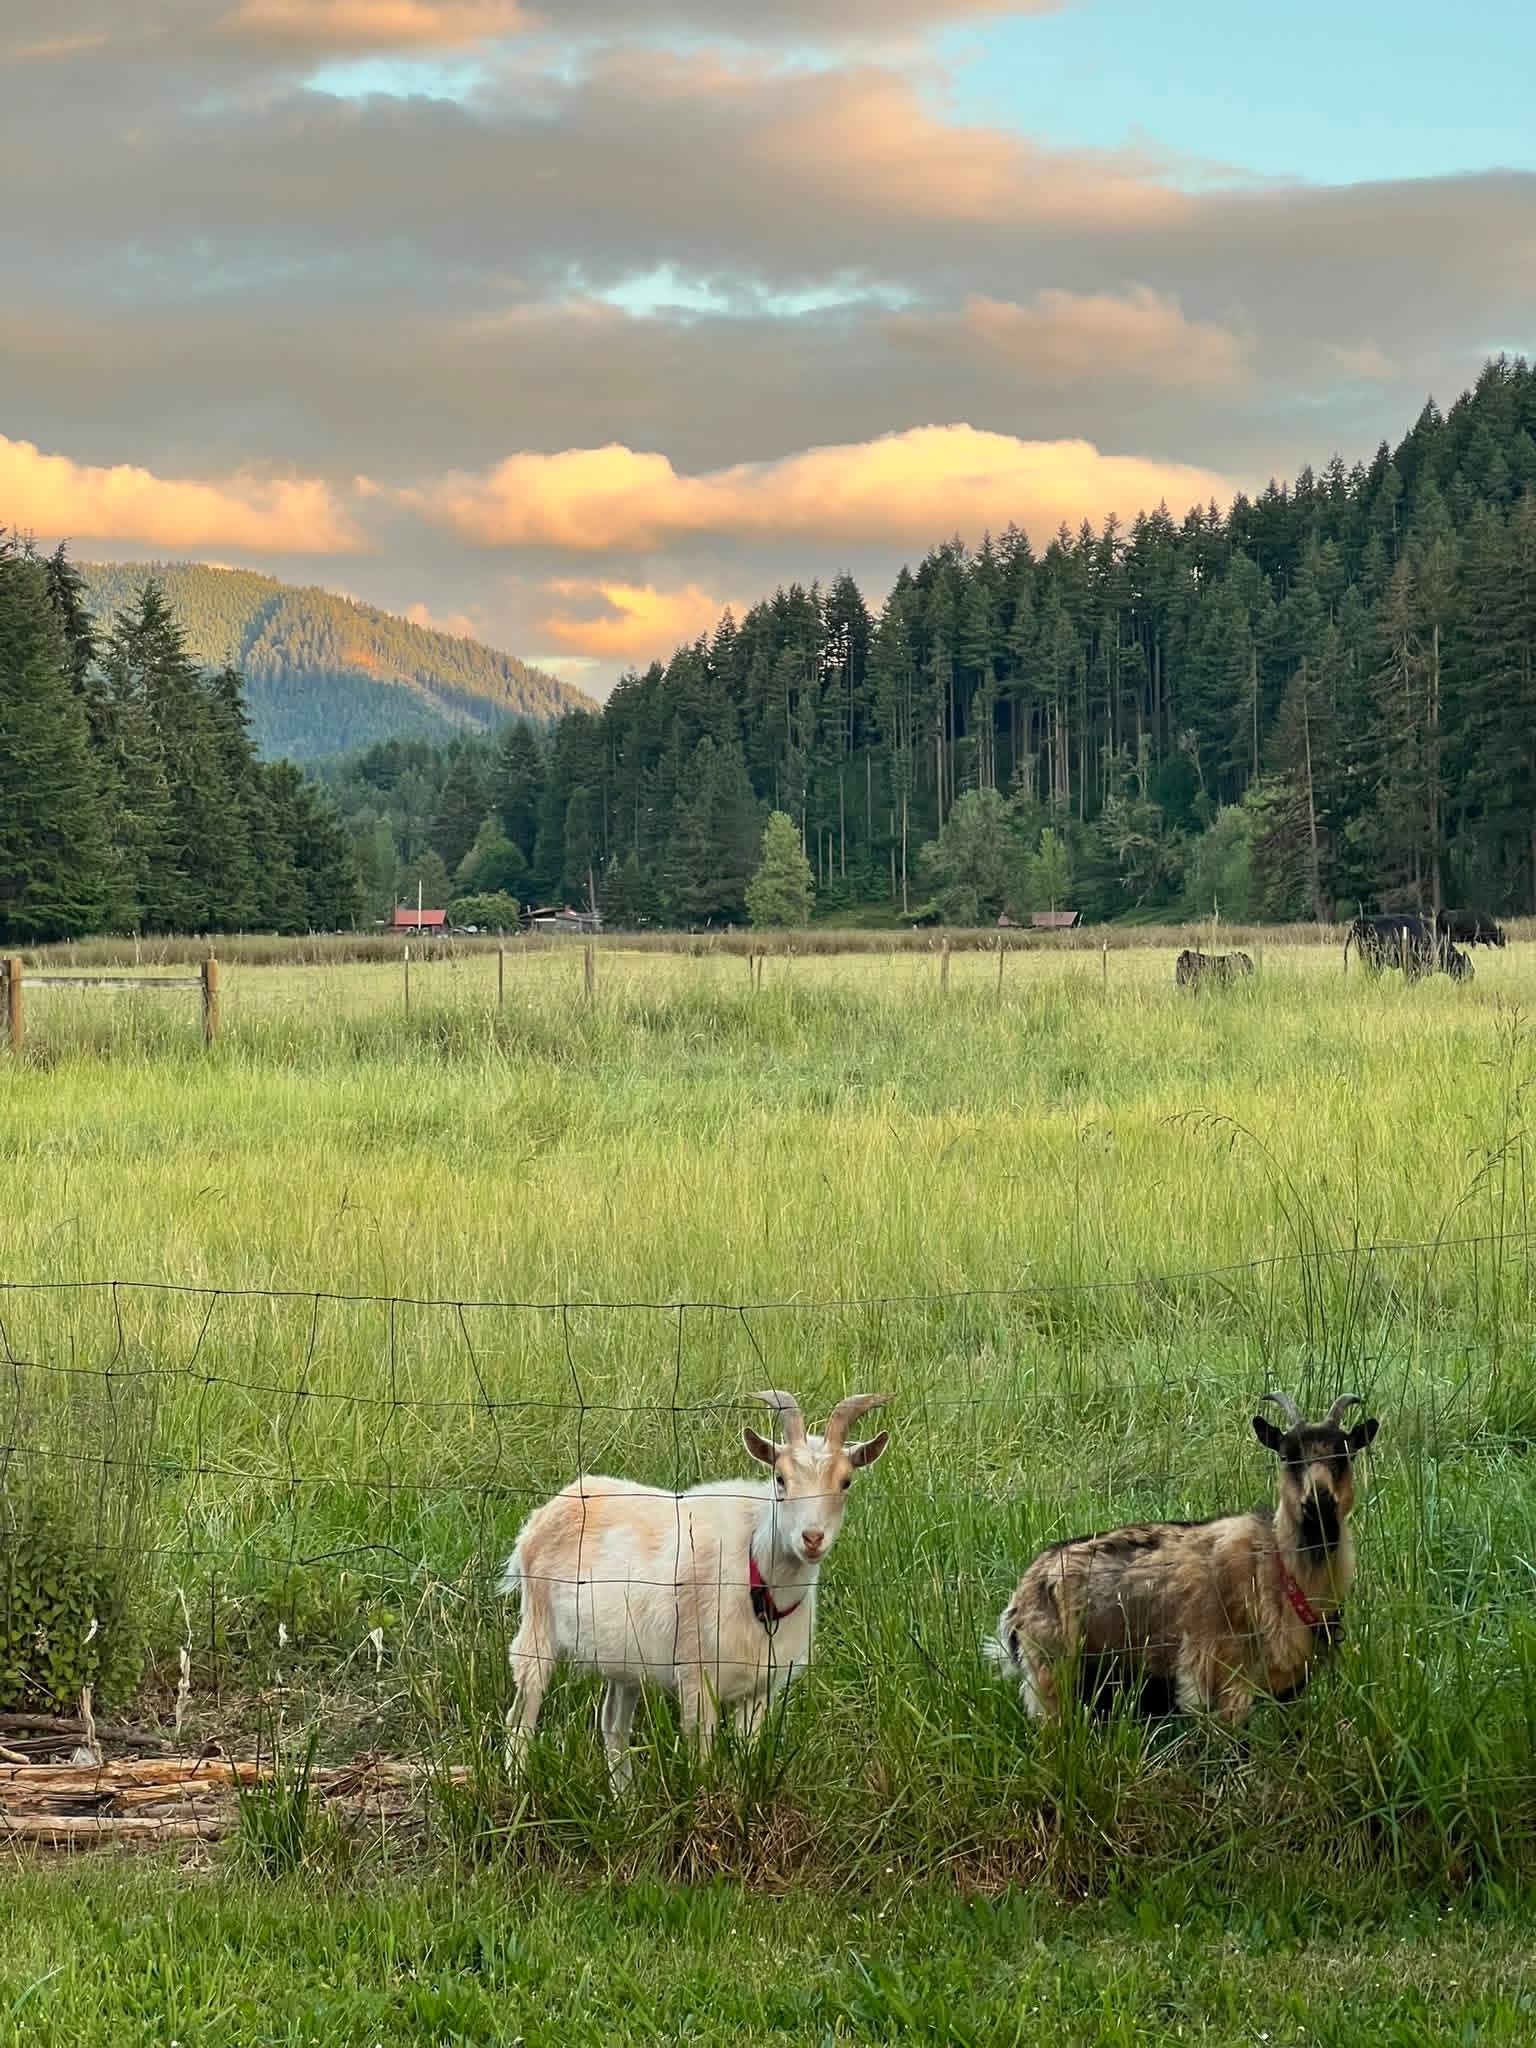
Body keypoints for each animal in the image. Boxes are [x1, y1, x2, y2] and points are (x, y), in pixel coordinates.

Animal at [498, 1389, 892, 1785]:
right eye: (780, 1479)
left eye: (846, 1482)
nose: (811, 1538)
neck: (757, 1576)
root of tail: (546, 1512)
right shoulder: (696, 1678)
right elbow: (702, 1760)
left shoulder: (760, 1688)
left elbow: (748, 1756)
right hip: (538, 1624)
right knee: (523, 1711)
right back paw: (518, 1781)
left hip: (622, 1657)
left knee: (612, 1724)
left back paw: (624, 1796)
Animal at [987, 1392, 1380, 1725]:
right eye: (1287, 1456)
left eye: (1344, 1455)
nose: (1319, 1501)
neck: (1280, 1569)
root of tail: (1021, 1598)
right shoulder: (1223, 1678)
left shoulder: (1289, 1684)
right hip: (1052, 1679)